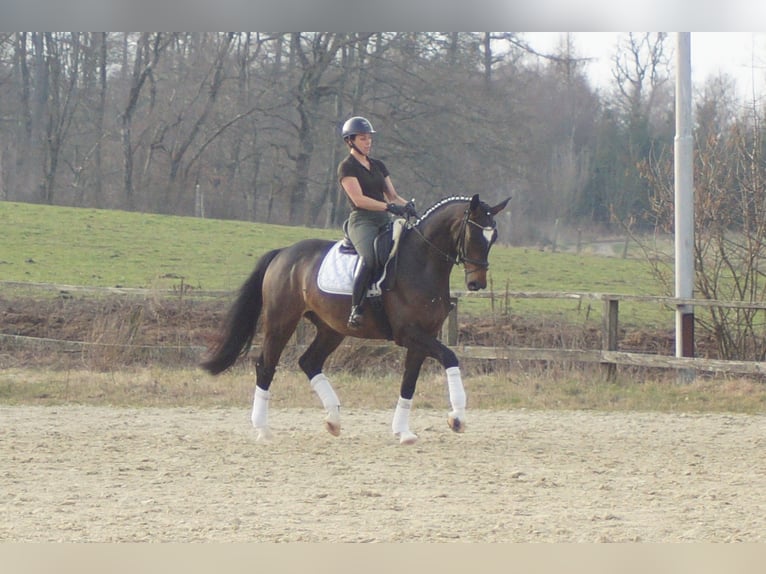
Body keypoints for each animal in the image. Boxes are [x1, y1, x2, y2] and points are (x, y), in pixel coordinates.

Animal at [201, 194, 511, 444]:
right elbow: (450, 357)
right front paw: (457, 417)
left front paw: (403, 432)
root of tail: (284, 253)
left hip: (330, 329)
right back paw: (263, 430)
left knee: (309, 362)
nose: (477, 283)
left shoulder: (423, 337)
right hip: (281, 321)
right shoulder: (410, 334)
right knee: (266, 366)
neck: (422, 262)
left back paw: (333, 420)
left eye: (493, 237)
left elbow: (409, 382)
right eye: (473, 235)